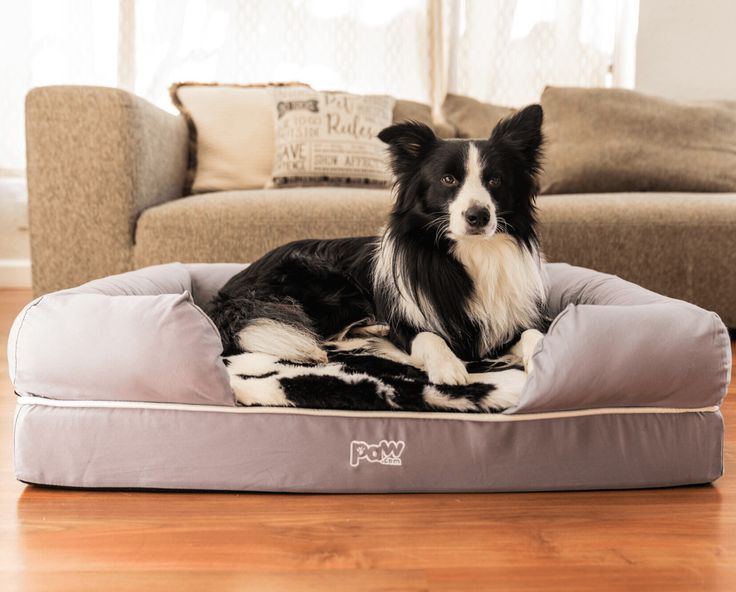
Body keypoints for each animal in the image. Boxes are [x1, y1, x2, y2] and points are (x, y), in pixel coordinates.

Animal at [210, 104, 548, 400]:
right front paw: (448, 366)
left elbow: (534, 335)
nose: (478, 216)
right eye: (448, 179)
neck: (471, 253)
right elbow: (429, 336)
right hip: (330, 284)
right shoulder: (409, 323)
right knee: (322, 333)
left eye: (495, 180)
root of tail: (231, 289)